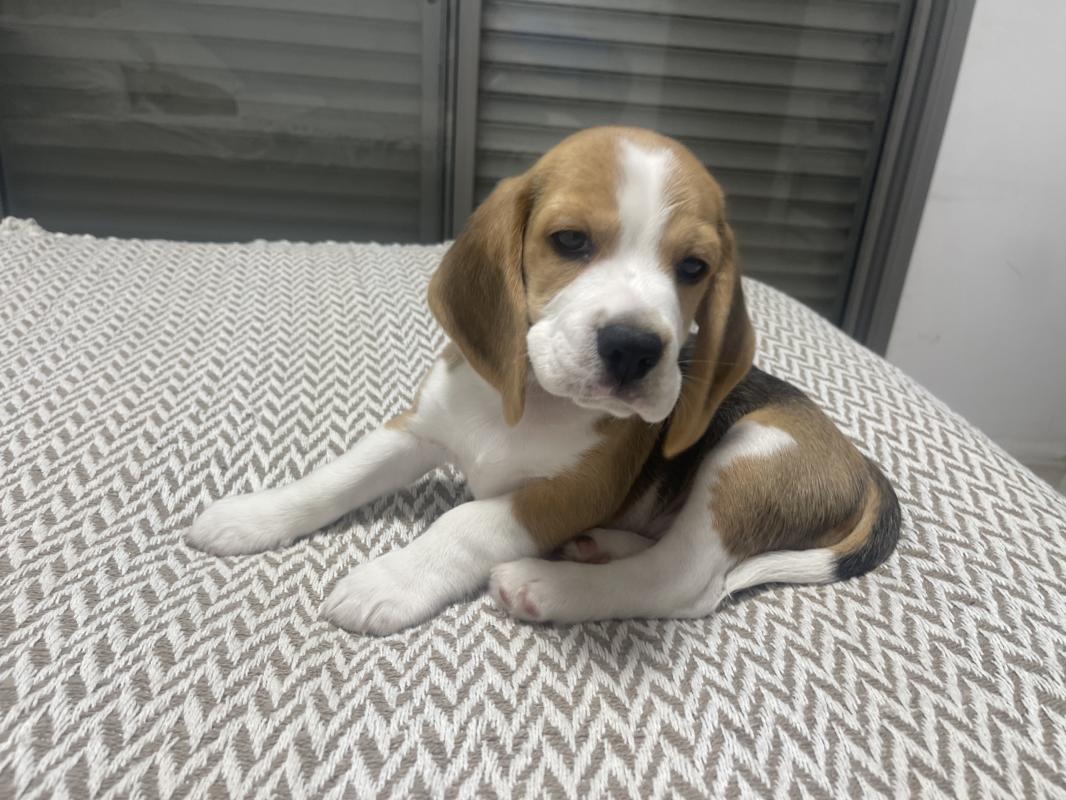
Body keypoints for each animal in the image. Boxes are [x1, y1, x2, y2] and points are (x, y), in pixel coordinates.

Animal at [187, 127, 900, 634]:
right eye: (570, 240)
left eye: (695, 267)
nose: (635, 348)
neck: (533, 400)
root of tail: (863, 465)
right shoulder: (417, 430)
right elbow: (336, 476)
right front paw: (250, 516)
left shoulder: (571, 491)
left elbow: (467, 522)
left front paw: (389, 580)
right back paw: (600, 546)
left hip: (752, 451)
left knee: (684, 579)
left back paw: (549, 585)